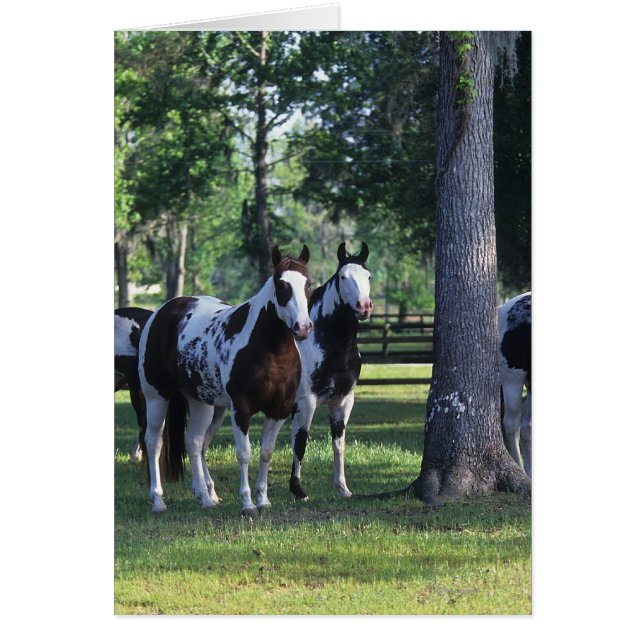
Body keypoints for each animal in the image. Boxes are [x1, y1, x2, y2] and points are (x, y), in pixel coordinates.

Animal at [137, 246, 313, 514]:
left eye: (308, 284)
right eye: (281, 284)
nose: (303, 327)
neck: (270, 349)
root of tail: (162, 312)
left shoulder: (279, 410)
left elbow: (266, 453)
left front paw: (263, 500)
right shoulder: (241, 408)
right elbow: (244, 454)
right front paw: (248, 504)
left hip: (203, 405)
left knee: (195, 443)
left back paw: (206, 498)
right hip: (157, 397)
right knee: (154, 443)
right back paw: (158, 500)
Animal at [289, 242, 372, 501]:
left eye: (368, 276)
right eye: (343, 277)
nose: (364, 307)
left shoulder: (342, 401)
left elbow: (338, 444)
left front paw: (342, 488)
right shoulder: (306, 402)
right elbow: (300, 443)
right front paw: (297, 490)